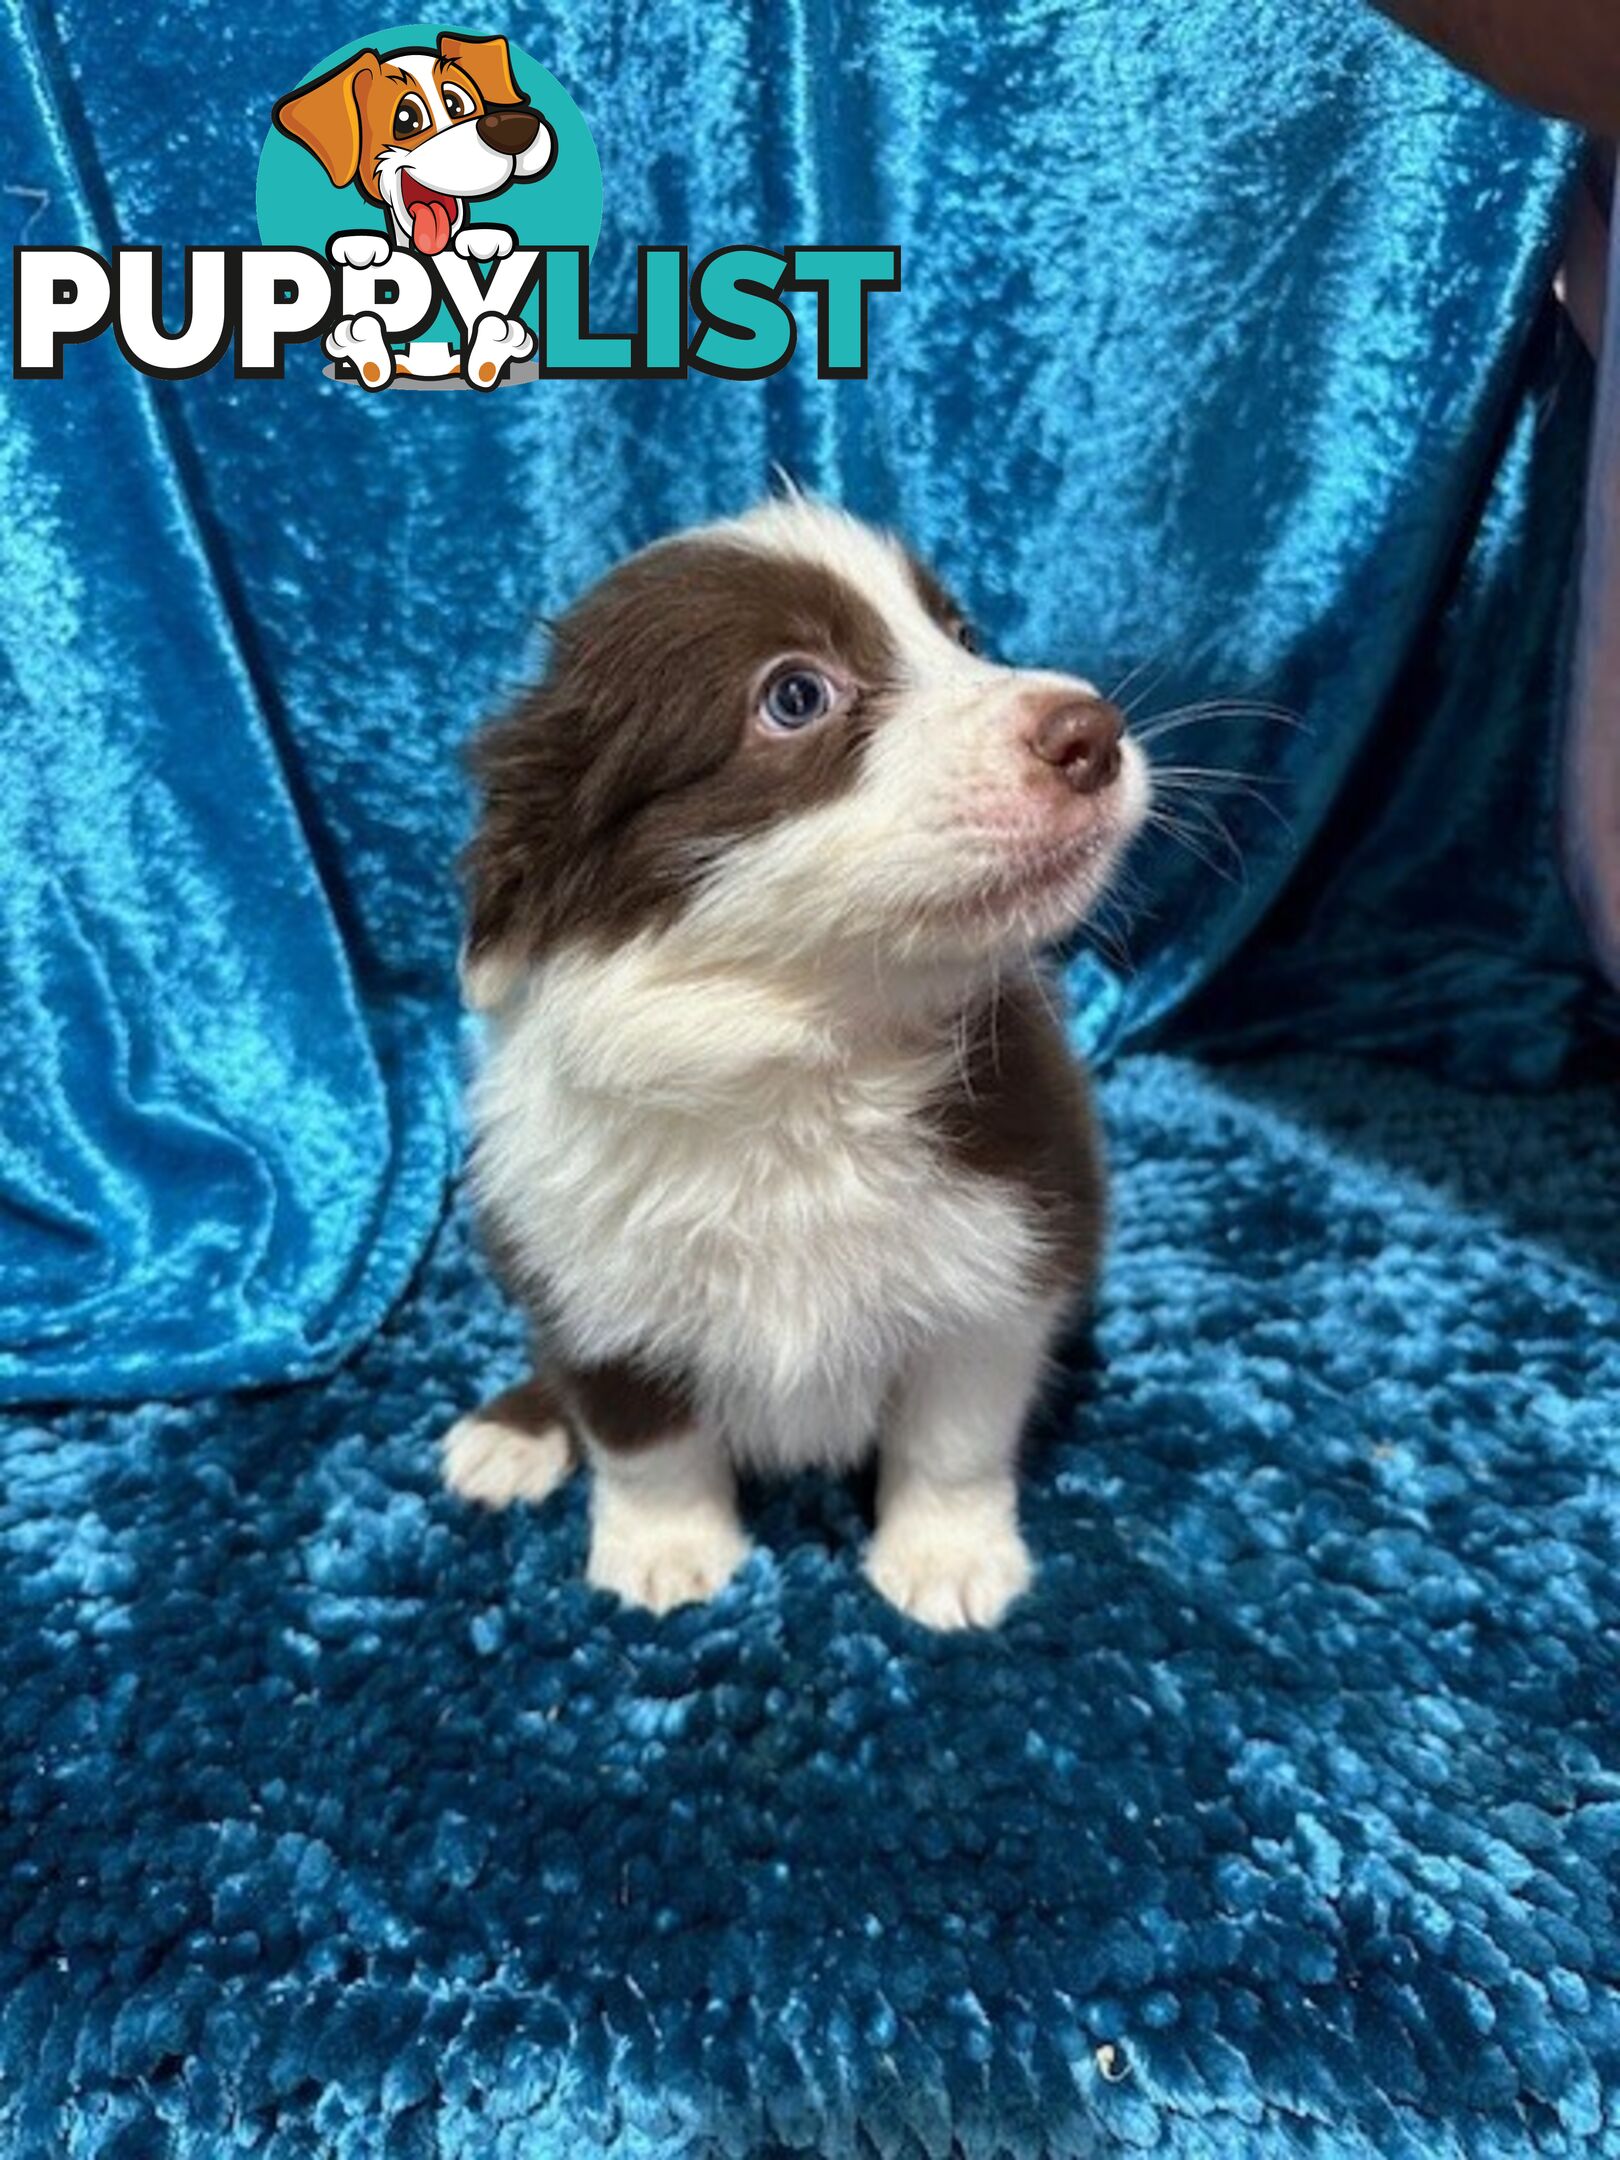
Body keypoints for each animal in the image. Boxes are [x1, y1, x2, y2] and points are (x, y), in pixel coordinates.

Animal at [444, 496, 1157, 1624]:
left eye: (961, 636)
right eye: (796, 695)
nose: (1092, 731)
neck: (807, 1055)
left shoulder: (1008, 1260)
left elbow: (955, 1433)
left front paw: (946, 1557)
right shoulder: (586, 1279)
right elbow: (642, 1435)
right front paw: (667, 1553)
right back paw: (511, 1430)